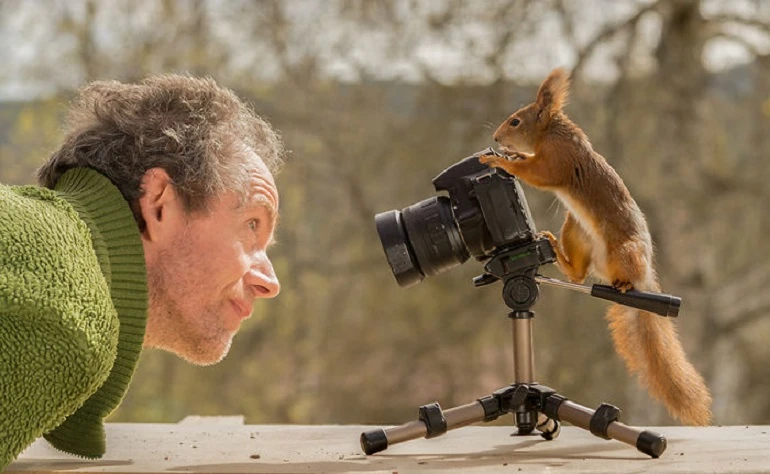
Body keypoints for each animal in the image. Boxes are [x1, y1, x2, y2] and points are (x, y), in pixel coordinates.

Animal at [476, 67, 712, 426]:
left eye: (515, 121)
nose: (497, 138)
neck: (551, 132)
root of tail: (642, 276)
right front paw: (510, 155)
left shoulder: (556, 160)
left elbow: (536, 172)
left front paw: (500, 161)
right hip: (575, 230)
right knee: (577, 275)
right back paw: (554, 246)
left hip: (624, 252)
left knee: (610, 275)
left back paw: (623, 284)